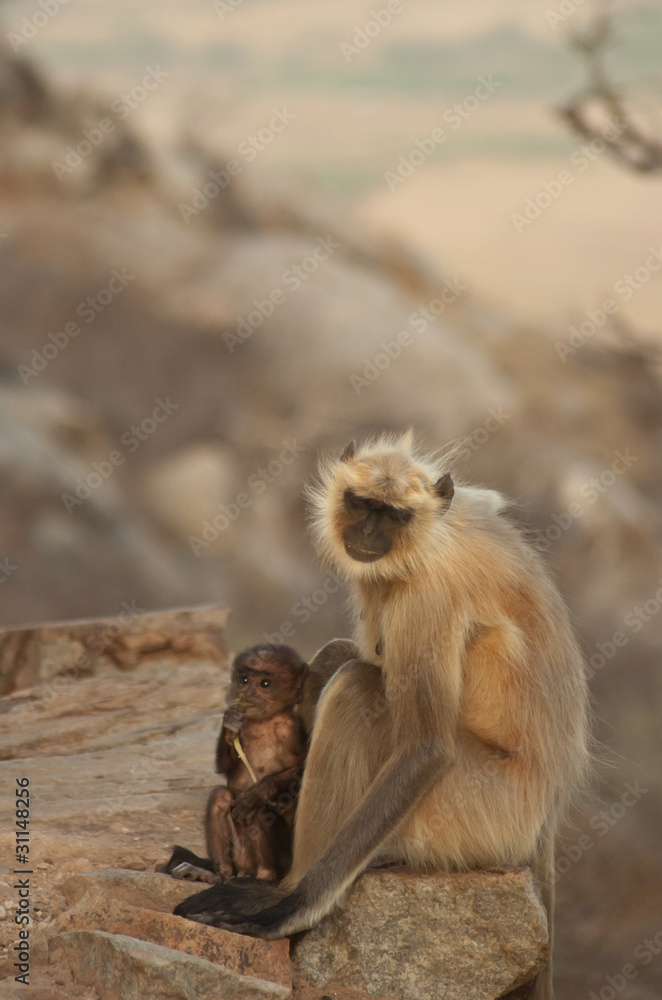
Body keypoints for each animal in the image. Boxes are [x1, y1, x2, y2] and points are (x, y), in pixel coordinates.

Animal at [161, 644, 308, 885]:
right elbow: (224, 769)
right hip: (240, 856)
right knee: (220, 797)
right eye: (244, 679)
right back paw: (219, 874)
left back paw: (264, 878)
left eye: (265, 684)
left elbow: (300, 773)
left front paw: (259, 791)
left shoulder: (291, 729)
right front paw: (230, 723)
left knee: (259, 811)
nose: (246, 695)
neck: (263, 721)